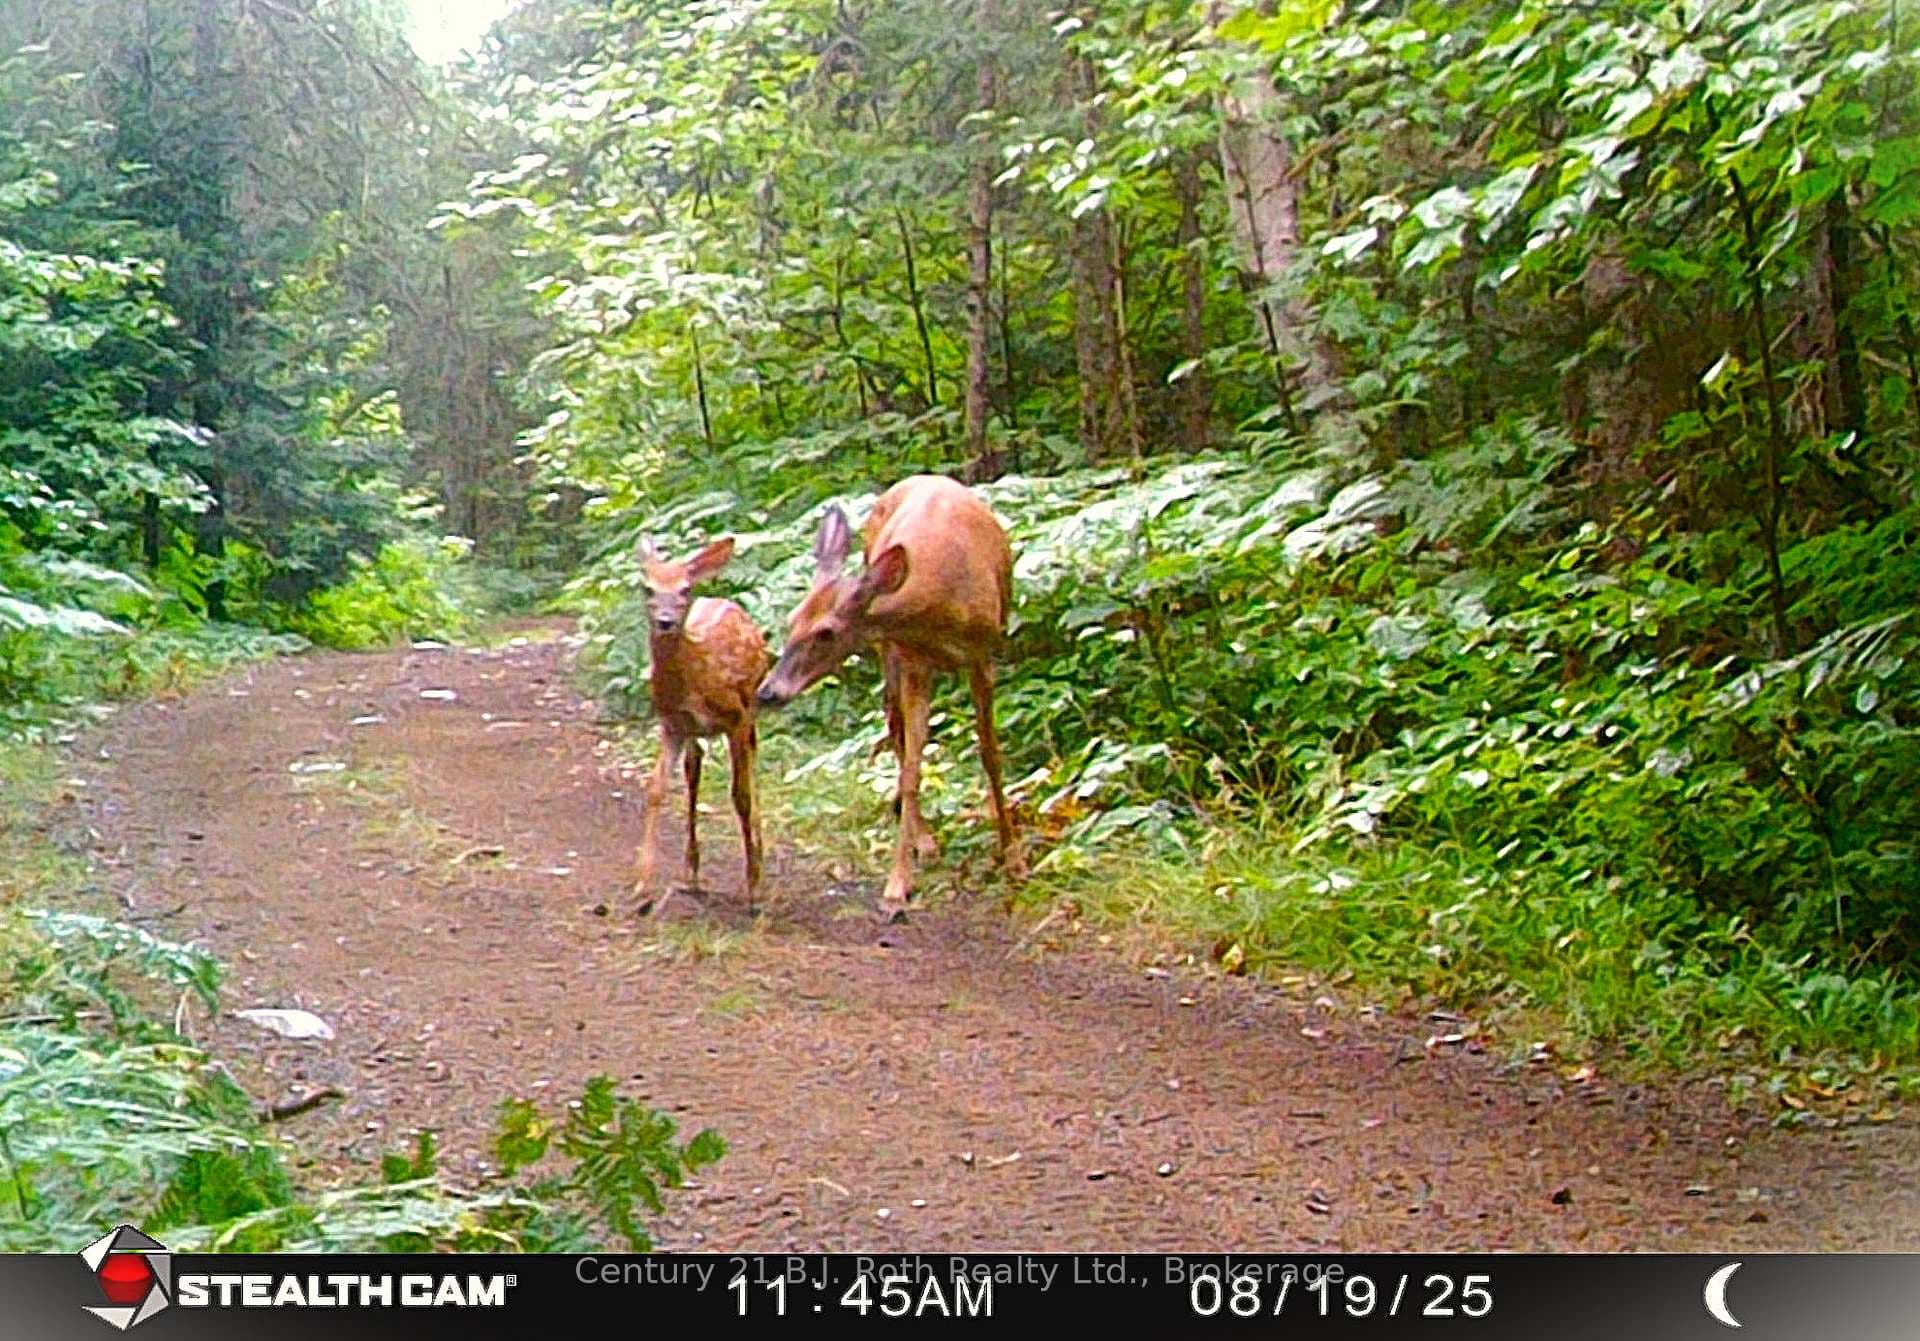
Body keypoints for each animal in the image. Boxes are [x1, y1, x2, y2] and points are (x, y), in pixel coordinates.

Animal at [632, 536, 768, 921]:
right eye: (648, 588)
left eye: (684, 589)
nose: (665, 621)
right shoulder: (672, 724)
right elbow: (656, 788)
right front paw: (642, 888)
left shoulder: (736, 717)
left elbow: (741, 795)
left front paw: (754, 890)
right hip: (696, 734)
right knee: (694, 773)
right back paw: (690, 872)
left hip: (753, 706)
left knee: (753, 767)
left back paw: (759, 855)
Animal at [756, 474, 1023, 921]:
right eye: (793, 620)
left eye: (826, 632)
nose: (767, 692)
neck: (941, 603)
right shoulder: (913, 658)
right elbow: (913, 767)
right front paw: (898, 884)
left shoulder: (984, 656)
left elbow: (991, 755)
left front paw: (1015, 859)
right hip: (889, 652)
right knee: (894, 726)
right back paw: (924, 840)